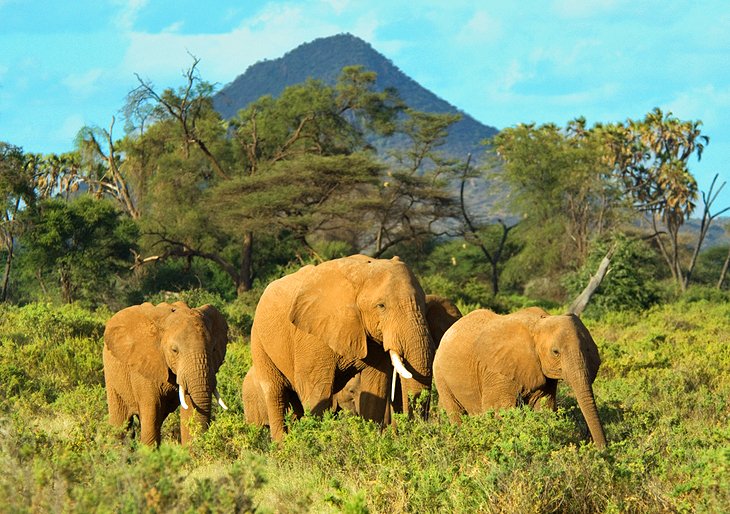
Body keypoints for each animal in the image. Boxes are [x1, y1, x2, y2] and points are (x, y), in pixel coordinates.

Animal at [102, 300, 228, 444]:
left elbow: (191, 409)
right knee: (120, 423)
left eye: (213, 349)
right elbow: (151, 414)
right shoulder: (144, 367)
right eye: (174, 350)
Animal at [430, 306, 604, 446]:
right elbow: (500, 411)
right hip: (440, 373)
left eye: (588, 349)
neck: (539, 324)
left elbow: (544, 407)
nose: (602, 450)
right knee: (455, 414)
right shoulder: (498, 372)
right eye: (555, 352)